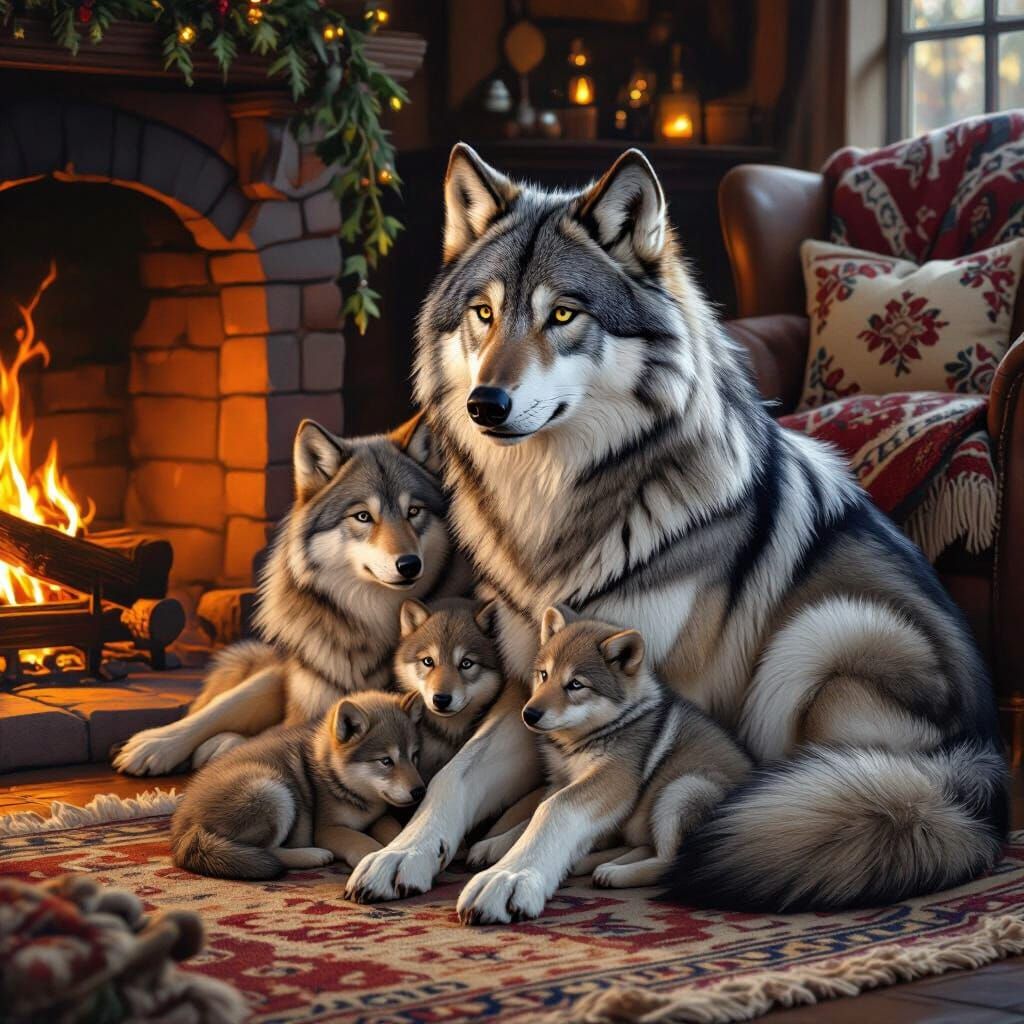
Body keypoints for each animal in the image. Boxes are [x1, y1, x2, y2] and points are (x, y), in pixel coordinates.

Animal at [114, 414, 467, 777]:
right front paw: (160, 744)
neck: (365, 626)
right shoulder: (304, 675)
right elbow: (227, 708)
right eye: (363, 516)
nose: (409, 564)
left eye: (414, 511)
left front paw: (222, 745)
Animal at [171, 691, 425, 880]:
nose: (420, 791)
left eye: (414, 756)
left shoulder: (379, 817)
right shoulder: (328, 829)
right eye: (386, 761)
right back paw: (312, 855)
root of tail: (184, 828)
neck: (336, 777)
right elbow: (364, 842)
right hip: (273, 792)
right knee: (268, 851)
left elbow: (393, 828)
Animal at [344, 143, 1008, 921]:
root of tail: (983, 771)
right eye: (484, 313)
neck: (557, 505)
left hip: (819, 638)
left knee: (818, 783)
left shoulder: (645, 704)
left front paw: (514, 876)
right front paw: (404, 853)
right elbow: (457, 777)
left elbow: (561, 804)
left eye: (563, 314)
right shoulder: (526, 689)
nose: (486, 403)